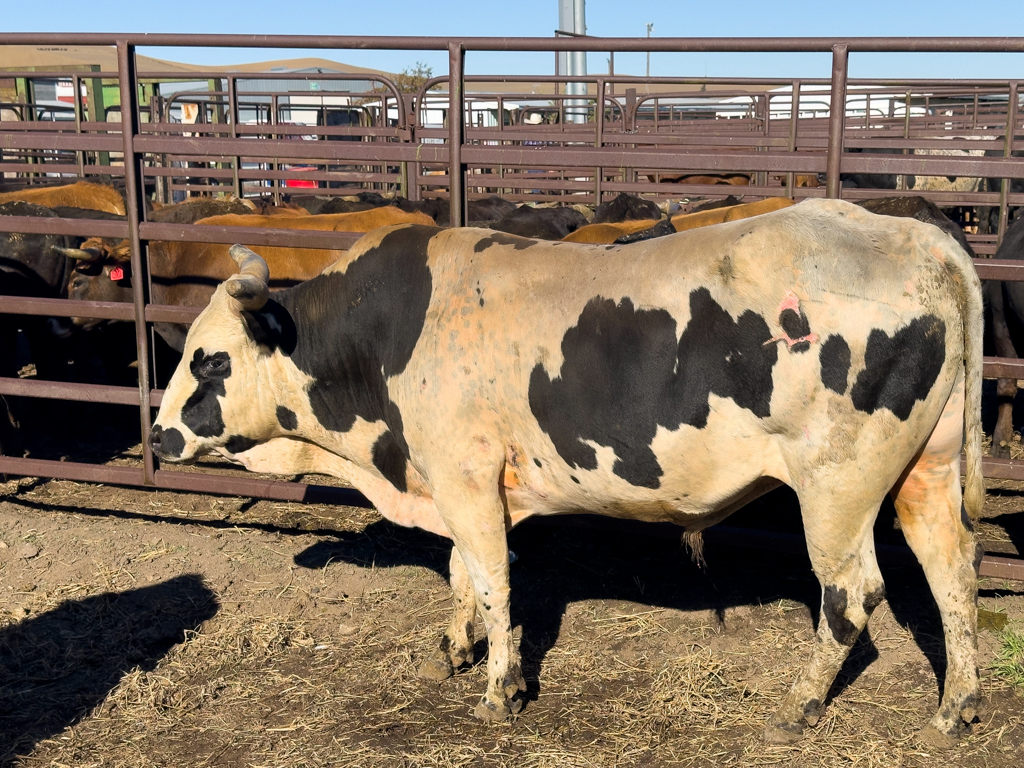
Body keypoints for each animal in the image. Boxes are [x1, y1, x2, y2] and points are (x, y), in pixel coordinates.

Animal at [149, 201, 983, 749]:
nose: (156, 435)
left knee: (852, 594)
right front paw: (460, 646)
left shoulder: (464, 475)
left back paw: (801, 704)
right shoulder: (462, 482)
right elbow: (461, 571)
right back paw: (958, 706)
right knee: (953, 573)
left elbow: (492, 578)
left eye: (211, 360)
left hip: (836, 486)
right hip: (926, 472)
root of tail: (920, 238)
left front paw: (500, 689)